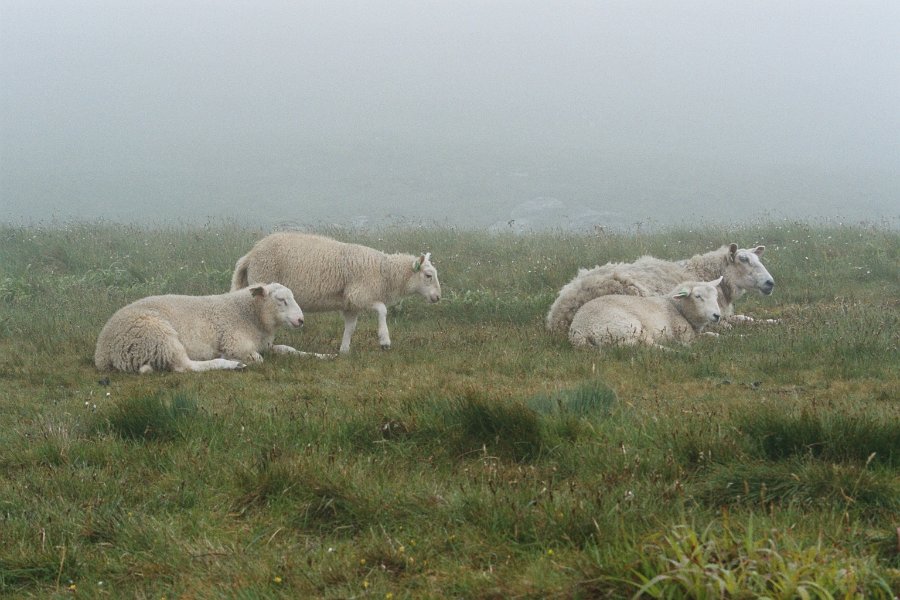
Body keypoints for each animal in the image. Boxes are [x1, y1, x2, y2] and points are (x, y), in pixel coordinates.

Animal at [93, 282, 306, 376]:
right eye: (281, 300)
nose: (301, 320)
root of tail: (103, 353)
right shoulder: (235, 344)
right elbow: (258, 359)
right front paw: (233, 359)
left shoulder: (266, 345)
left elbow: (289, 349)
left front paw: (313, 355)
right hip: (159, 336)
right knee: (185, 366)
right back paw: (229, 364)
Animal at [230, 233, 442, 356]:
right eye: (428, 275)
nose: (438, 297)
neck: (384, 272)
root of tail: (250, 255)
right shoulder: (360, 294)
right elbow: (382, 309)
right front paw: (384, 340)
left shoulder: (351, 304)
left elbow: (350, 327)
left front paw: (344, 351)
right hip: (263, 278)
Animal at [544, 245, 776, 338]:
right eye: (743, 260)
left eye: (757, 259)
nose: (770, 283)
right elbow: (733, 323)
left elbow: (748, 318)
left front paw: (773, 322)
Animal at [568, 278, 724, 350]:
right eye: (698, 296)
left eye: (716, 296)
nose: (717, 315)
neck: (675, 307)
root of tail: (580, 330)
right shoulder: (685, 335)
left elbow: (714, 335)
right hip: (627, 327)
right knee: (647, 346)